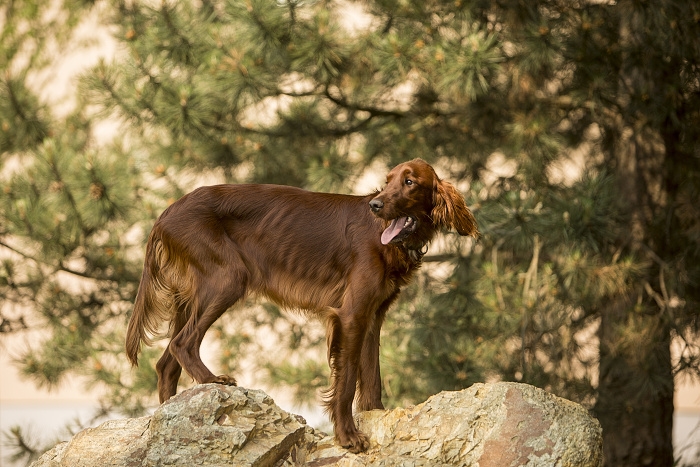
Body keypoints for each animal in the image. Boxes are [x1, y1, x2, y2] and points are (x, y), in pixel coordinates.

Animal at [126, 158, 478, 454]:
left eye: (409, 182)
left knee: (166, 363)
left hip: (196, 295)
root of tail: (167, 212)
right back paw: (213, 381)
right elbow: (346, 381)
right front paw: (348, 436)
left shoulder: (373, 316)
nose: (375, 205)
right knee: (181, 343)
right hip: (228, 279)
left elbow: (372, 376)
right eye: (387, 181)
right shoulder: (351, 315)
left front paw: (376, 416)